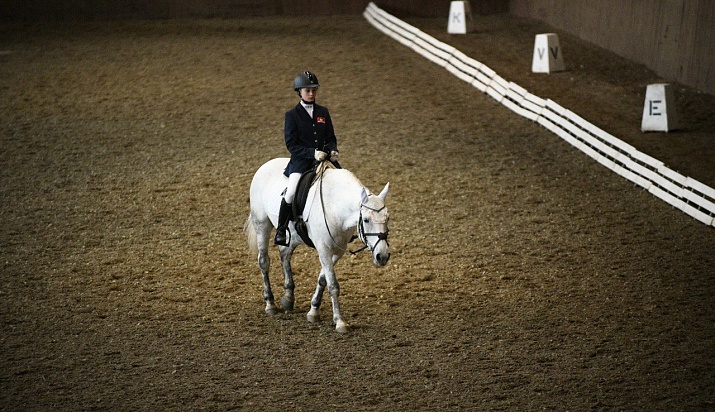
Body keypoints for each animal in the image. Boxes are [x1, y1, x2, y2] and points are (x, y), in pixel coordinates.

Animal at [245, 156, 392, 334]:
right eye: (366, 220)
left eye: (387, 218)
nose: (382, 256)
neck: (334, 205)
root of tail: (267, 164)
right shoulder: (324, 249)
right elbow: (333, 285)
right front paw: (340, 322)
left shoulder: (337, 251)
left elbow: (323, 279)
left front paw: (313, 311)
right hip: (262, 224)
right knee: (264, 261)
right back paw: (270, 304)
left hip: (292, 235)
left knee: (284, 253)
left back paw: (288, 298)